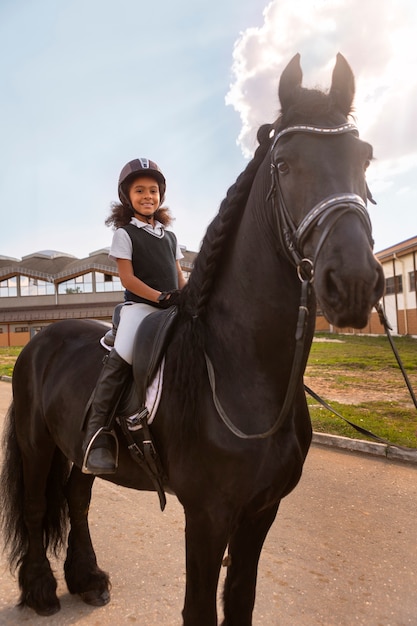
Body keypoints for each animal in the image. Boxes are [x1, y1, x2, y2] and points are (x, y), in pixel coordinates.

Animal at [0, 54, 384, 624]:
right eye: (285, 165)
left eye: (365, 157)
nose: (355, 283)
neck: (241, 371)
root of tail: (43, 339)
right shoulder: (207, 514)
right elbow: (200, 609)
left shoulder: (261, 511)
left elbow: (241, 600)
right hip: (36, 440)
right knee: (32, 506)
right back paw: (41, 589)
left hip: (78, 447)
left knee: (76, 498)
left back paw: (87, 578)